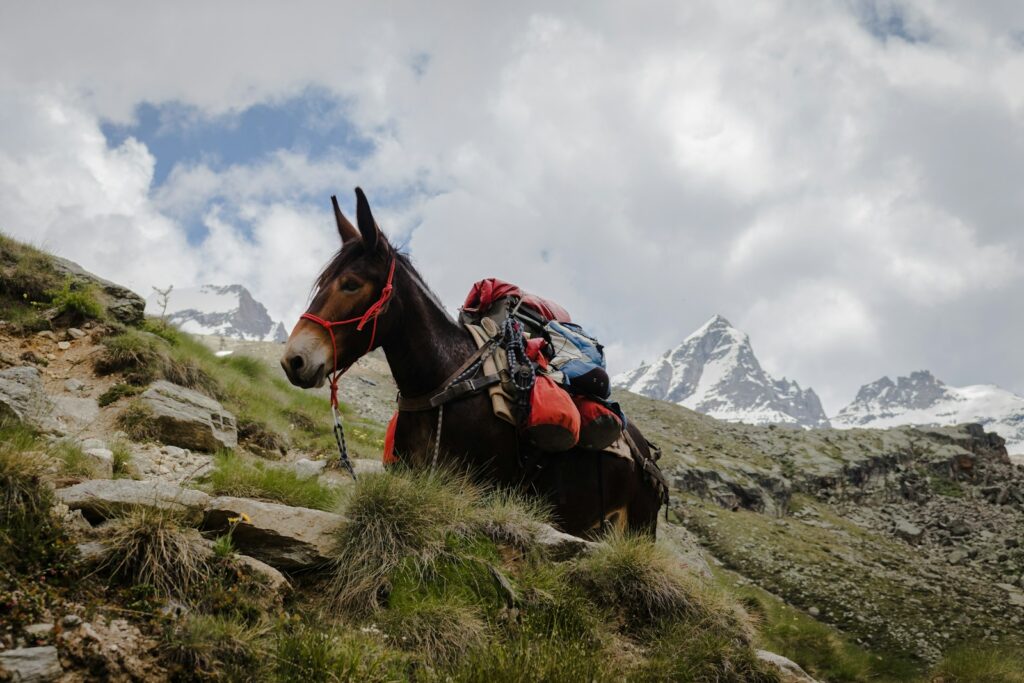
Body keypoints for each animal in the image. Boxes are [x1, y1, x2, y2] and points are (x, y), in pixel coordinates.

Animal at [281, 188, 666, 538]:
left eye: (350, 284)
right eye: (322, 283)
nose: (293, 360)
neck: (441, 385)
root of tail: (646, 451)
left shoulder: (477, 492)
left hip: (636, 527)